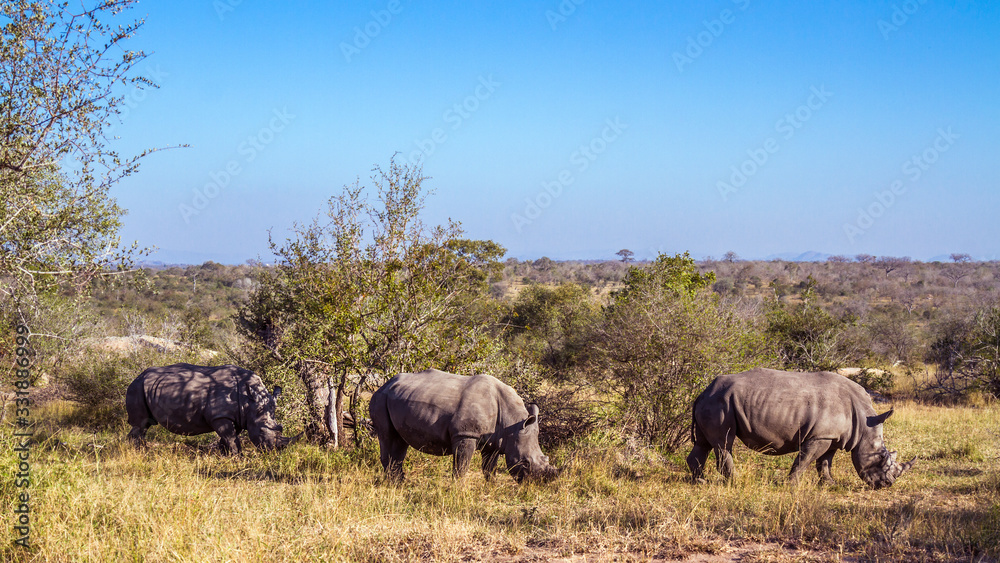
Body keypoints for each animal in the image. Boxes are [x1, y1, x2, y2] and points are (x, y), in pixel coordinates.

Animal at [126, 363, 299, 454]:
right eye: (262, 431)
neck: (249, 403)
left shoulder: (235, 416)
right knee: (141, 423)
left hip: (147, 387)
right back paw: (138, 452)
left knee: (145, 424)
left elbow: (230, 436)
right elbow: (230, 437)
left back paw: (138, 450)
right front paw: (238, 457)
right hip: (137, 387)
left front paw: (224, 454)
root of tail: (138, 376)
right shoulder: (220, 415)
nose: (275, 452)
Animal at [369, 369, 559, 483]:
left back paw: (400, 483)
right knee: (387, 436)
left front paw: (491, 487)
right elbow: (461, 466)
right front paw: (457, 490)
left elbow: (489, 468)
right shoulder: (465, 434)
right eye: (525, 462)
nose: (533, 485)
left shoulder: (495, 441)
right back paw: (392, 484)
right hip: (380, 399)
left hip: (397, 397)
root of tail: (384, 384)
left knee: (400, 441)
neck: (512, 422)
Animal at [687, 368, 915, 489]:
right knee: (723, 443)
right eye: (881, 457)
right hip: (720, 403)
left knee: (704, 443)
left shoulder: (831, 437)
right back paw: (735, 482)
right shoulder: (820, 436)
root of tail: (703, 391)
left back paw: (700, 481)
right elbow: (805, 460)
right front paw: (791, 485)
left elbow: (824, 463)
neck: (863, 422)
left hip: (714, 401)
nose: (887, 484)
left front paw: (830, 484)